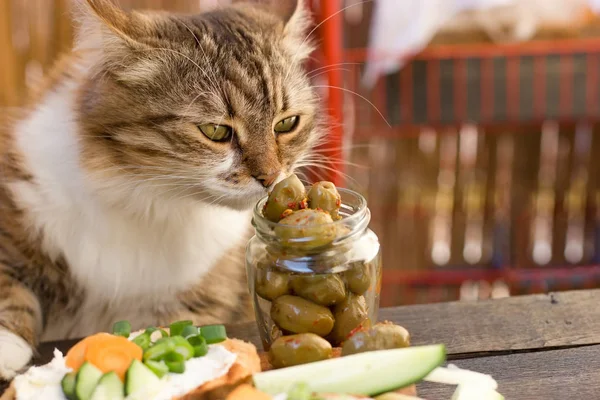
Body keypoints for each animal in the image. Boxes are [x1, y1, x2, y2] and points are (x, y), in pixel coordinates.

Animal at [0, 0, 322, 380]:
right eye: (215, 131)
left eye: (286, 124)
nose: (271, 177)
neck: (149, 198)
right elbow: (10, 283)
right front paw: (7, 345)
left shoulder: (200, 297)